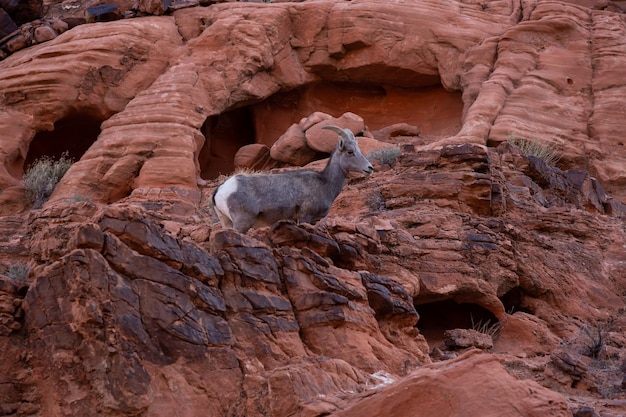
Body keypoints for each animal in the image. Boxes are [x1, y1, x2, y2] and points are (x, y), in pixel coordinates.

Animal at [212, 123, 372, 234]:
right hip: (242, 222)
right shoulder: (305, 217)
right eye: (350, 152)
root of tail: (222, 190)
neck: (325, 183)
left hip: (226, 222)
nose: (369, 168)